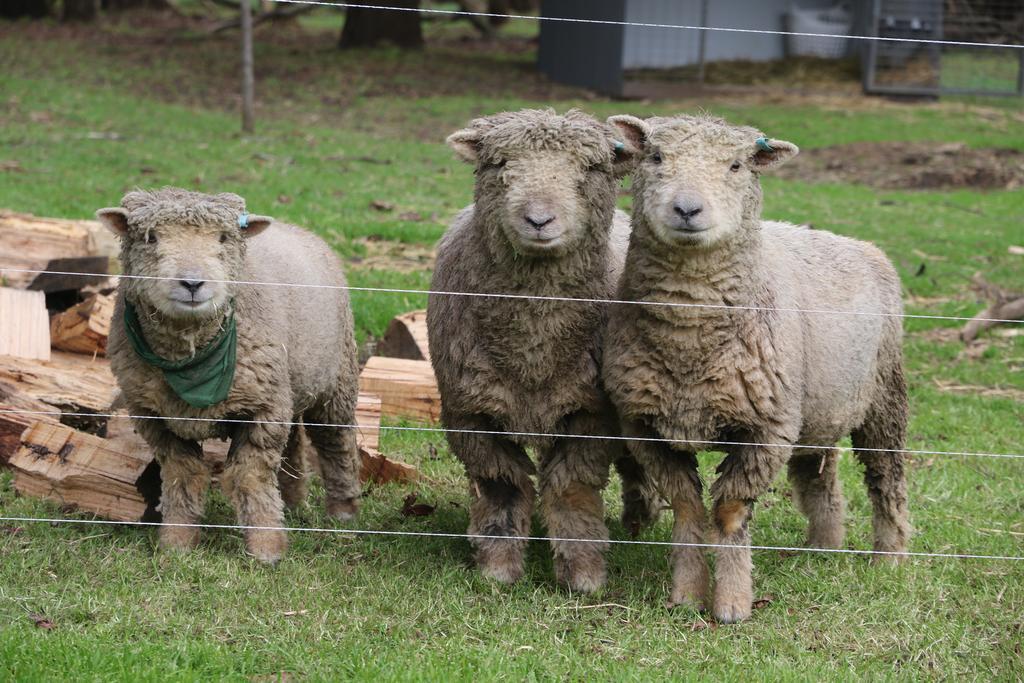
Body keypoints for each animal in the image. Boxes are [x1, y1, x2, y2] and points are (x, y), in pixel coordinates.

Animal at [96, 189, 360, 565]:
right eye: (150, 237)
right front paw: (177, 542)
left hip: (335, 380)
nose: (193, 283)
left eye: (223, 238)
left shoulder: (263, 411)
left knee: (335, 441)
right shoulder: (154, 416)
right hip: (288, 384)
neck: (189, 358)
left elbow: (251, 476)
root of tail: (298, 229)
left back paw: (343, 511)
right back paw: (293, 502)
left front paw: (266, 548)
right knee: (294, 442)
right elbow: (182, 475)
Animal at [425, 109, 659, 589]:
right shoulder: (469, 412)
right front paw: (498, 565)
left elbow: (570, 487)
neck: (532, 349)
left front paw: (583, 572)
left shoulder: (592, 413)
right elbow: (502, 485)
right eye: (498, 164)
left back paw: (640, 515)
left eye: (592, 168)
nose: (538, 219)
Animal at [602, 114, 909, 622]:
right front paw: (686, 595)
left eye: (736, 165)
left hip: (885, 394)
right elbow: (687, 507)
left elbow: (729, 511)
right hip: (818, 409)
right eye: (656, 157)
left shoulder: (768, 430)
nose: (687, 209)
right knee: (819, 477)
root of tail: (858, 244)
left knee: (887, 476)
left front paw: (731, 605)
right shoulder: (644, 427)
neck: (690, 338)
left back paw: (890, 557)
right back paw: (824, 547)